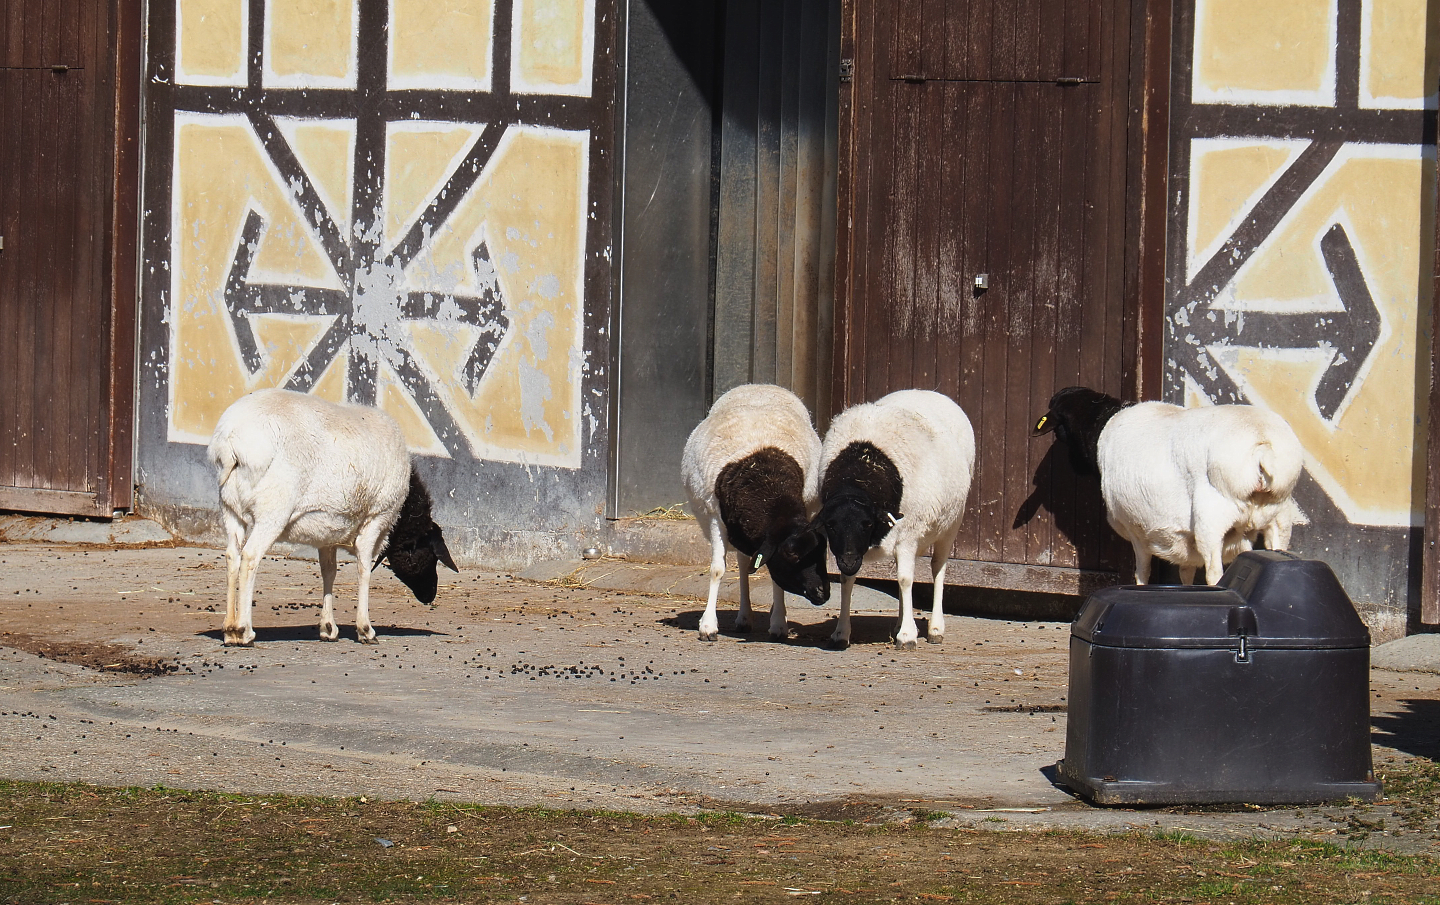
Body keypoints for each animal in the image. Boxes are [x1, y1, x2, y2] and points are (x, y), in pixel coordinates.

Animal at [208, 388, 458, 646]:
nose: (430, 595)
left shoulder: (326, 531)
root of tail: (231, 442)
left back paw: (229, 630)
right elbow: (363, 568)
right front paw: (365, 629)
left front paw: (328, 628)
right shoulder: (377, 516)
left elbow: (329, 571)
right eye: (429, 555)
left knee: (232, 556)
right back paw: (244, 630)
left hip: (230, 508)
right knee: (249, 558)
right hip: (272, 511)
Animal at [681, 384, 830, 641]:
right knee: (742, 565)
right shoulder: (715, 517)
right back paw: (744, 618)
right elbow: (717, 570)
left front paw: (779, 623)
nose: (823, 593)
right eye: (792, 555)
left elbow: (774, 575)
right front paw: (708, 626)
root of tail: (759, 385)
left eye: (822, 552)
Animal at [809, 389, 976, 650]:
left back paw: (935, 628)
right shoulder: (851, 548)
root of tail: (926, 392)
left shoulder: (908, 536)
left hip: (951, 524)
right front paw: (841, 632)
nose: (848, 561)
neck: (859, 477)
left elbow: (906, 580)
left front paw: (907, 636)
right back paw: (901, 623)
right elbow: (847, 581)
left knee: (938, 569)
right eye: (831, 526)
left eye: (867, 523)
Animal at [1032, 385, 1306, 586]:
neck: (1101, 427)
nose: (1074, 466)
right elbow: (1186, 572)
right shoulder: (1185, 538)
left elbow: (1142, 572)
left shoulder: (1136, 527)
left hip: (1211, 519)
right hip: (1279, 516)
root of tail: (1262, 446)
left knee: (1214, 574)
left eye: (1060, 428)